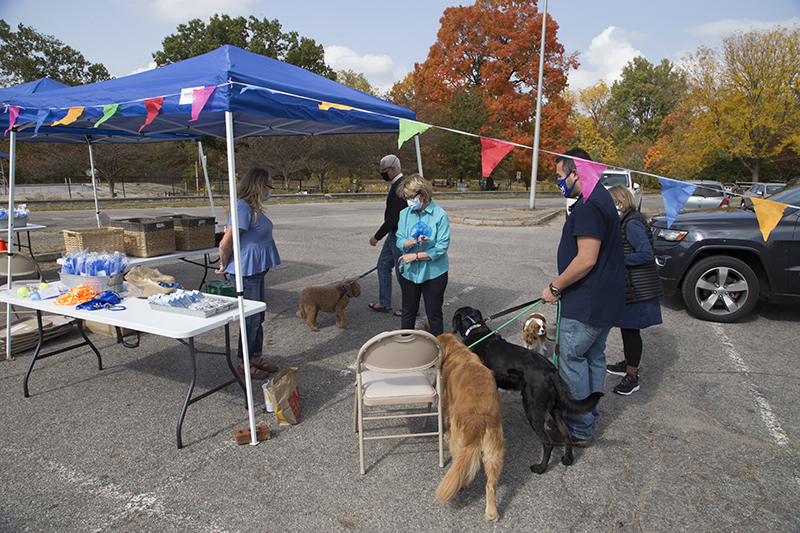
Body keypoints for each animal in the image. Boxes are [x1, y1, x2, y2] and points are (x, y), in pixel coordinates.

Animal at [434, 332, 504, 520]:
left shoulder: (447, 403)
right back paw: (492, 512)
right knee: (491, 485)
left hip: (459, 444)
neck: (458, 352)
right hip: (494, 451)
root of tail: (477, 421)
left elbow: (446, 421)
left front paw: (445, 435)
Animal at [454, 306, 604, 472]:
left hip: (532, 408)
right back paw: (568, 459)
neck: (475, 329)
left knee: (548, 442)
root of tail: (551, 370)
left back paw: (541, 468)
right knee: (567, 434)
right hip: (554, 407)